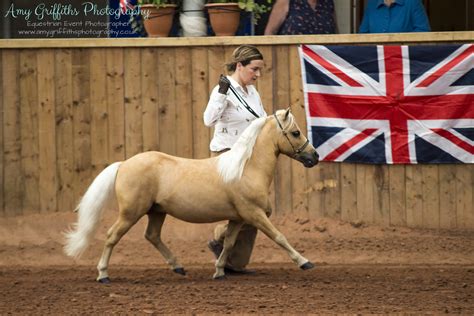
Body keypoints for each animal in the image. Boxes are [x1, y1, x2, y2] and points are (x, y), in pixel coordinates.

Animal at [64, 109, 318, 282]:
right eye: (295, 132)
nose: (314, 157)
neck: (245, 168)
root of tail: (124, 164)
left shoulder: (237, 218)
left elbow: (229, 243)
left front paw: (219, 271)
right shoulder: (254, 214)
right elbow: (279, 237)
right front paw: (305, 262)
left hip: (157, 212)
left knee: (152, 236)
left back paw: (178, 267)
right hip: (130, 213)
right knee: (111, 236)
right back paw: (103, 275)